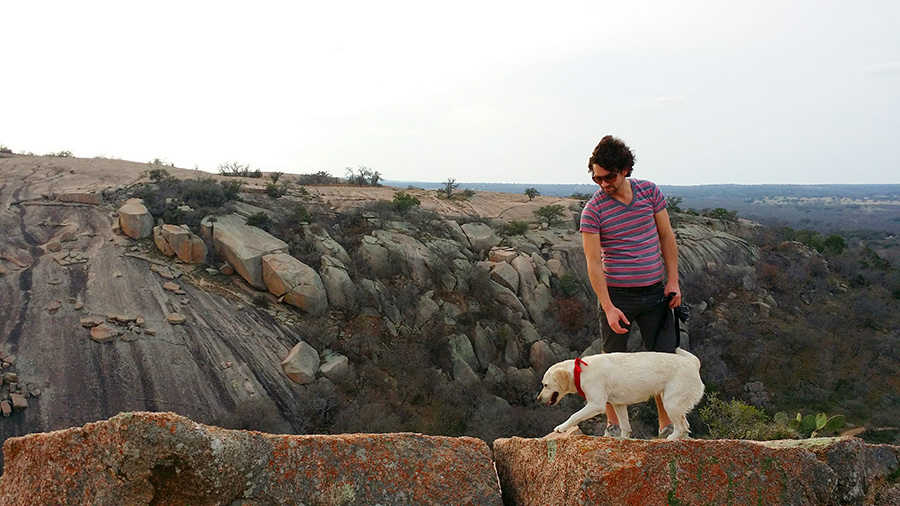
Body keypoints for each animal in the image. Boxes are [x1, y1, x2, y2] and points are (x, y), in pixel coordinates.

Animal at [536, 348, 704, 438]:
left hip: (671, 403)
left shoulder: (596, 404)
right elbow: (624, 426)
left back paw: (669, 439)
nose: (538, 399)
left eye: (545, 385)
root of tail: (693, 363)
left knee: (682, 427)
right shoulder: (619, 404)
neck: (579, 372)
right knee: (685, 425)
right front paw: (623, 440)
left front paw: (561, 427)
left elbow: (574, 415)